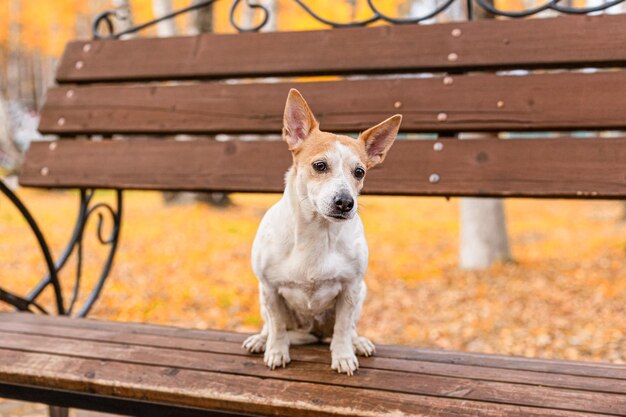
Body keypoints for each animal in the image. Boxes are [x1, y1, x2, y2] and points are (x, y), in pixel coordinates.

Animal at [240, 88, 400, 374]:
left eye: (359, 172)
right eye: (320, 166)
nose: (346, 202)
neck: (317, 232)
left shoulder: (350, 289)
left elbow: (342, 328)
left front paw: (344, 354)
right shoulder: (269, 288)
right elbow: (277, 326)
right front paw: (276, 351)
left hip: (361, 293)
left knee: (349, 328)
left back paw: (357, 342)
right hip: (262, 298)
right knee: (270, 325)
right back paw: (261, 340)